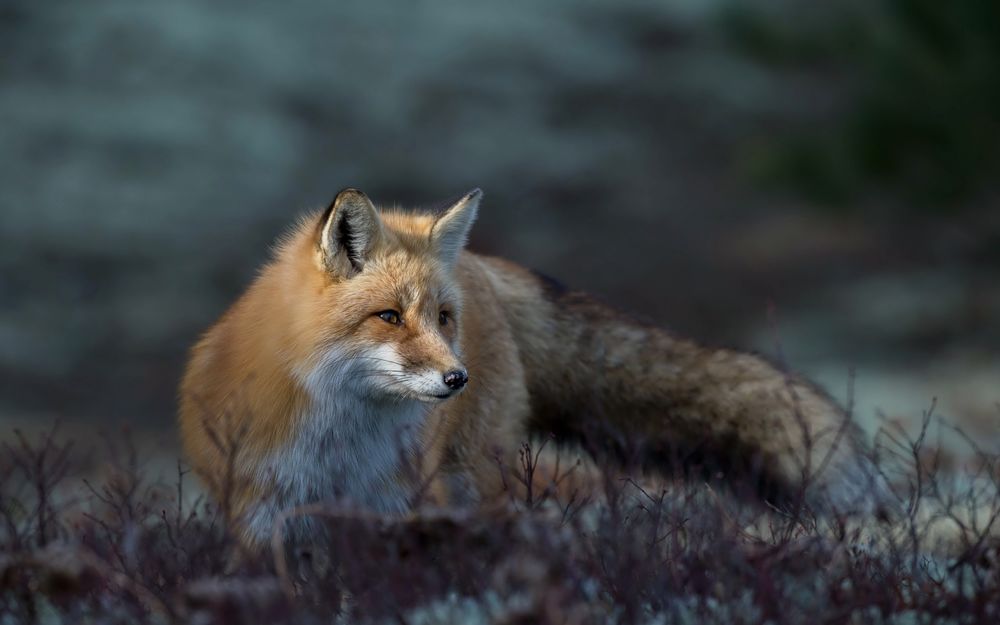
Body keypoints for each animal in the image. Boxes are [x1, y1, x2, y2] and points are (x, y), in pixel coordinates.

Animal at [179, 188, 887, 548]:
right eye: (388, 317)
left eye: (442, 318)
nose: (455, 379)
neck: (339, 446)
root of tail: (486, 264)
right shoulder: (261, 515)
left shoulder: (393, 509)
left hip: (472, 478)